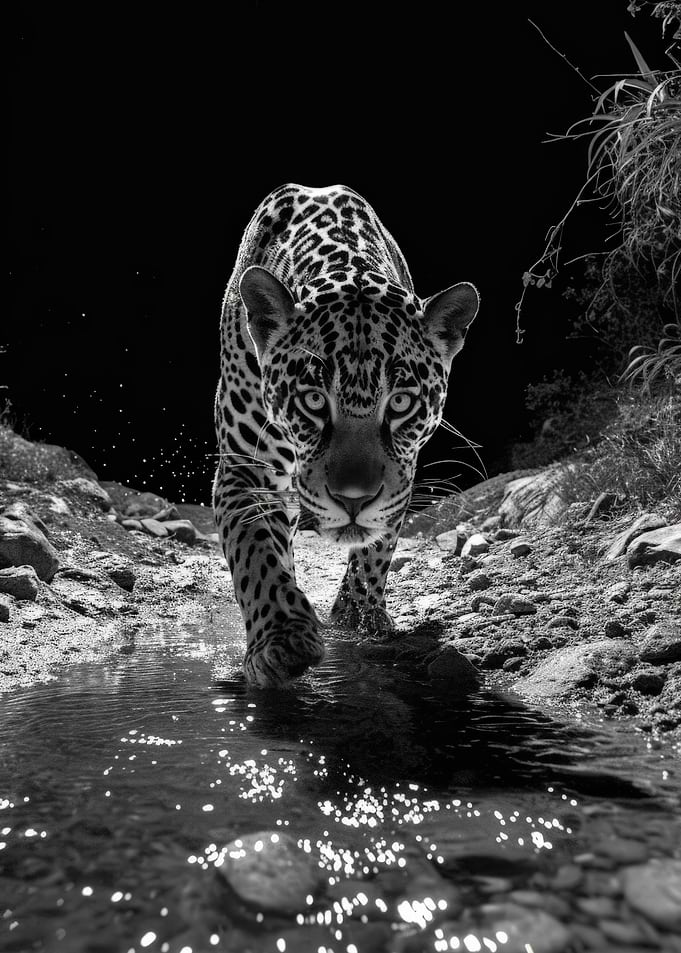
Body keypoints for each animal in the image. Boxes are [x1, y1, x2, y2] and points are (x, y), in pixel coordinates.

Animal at [213, 183, 479, 688]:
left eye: (401, 403)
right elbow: (256, 551)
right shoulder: (244, 467)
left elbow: (379, 542)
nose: (352, 499)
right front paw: (282, 640)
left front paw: (358, 615)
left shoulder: (403, 470)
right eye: (314, 401)